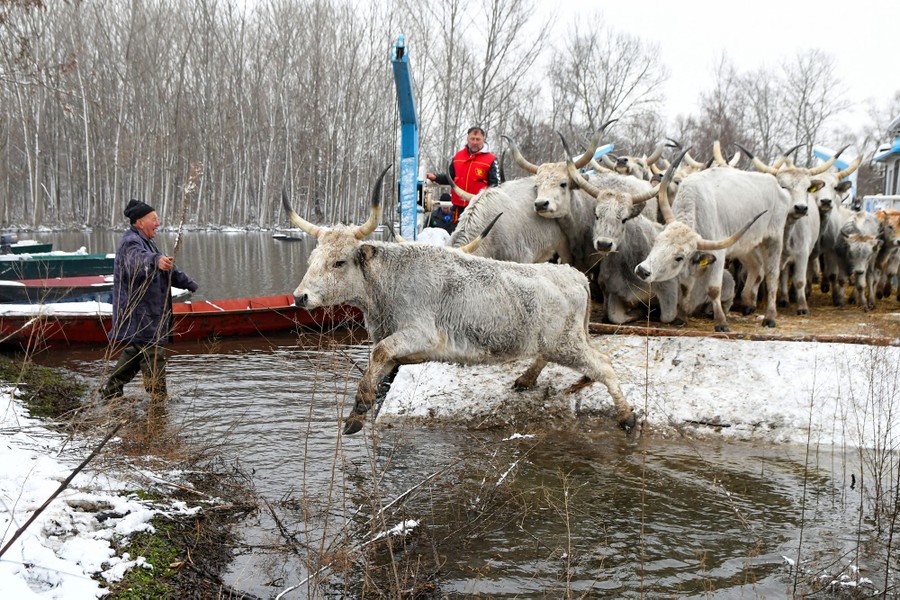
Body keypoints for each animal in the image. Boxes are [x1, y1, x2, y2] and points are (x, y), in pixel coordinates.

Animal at [282, 166, 637, 435]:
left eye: (339, 261)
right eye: (313, 258)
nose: (300, 296)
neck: (388, 282)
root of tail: (573, 275)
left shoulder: (420, 334)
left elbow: (379, 352)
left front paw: (359, 406)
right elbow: (380, 362)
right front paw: (359, 411)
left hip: (567, 344)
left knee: (604, 365)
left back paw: (627, 416)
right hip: (559, 342)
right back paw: (527, 378)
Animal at [633, 150, 780, 332]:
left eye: (679, 257)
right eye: (656, 241)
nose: (642, 271)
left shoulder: (718, 255)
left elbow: (714, 289)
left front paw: (721, 323)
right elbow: (684, 287)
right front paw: (680, 317)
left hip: (774, 239)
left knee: (772, 276)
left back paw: (770, 318)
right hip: (747, 246)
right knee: (756, 268)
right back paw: (748, 304)